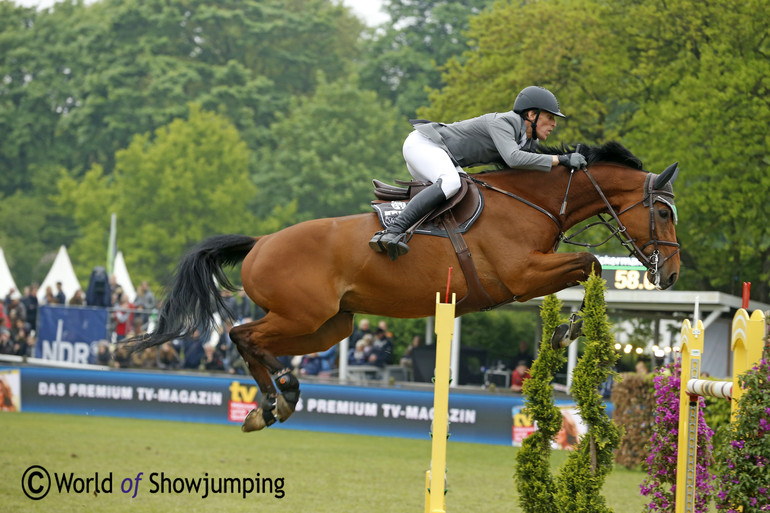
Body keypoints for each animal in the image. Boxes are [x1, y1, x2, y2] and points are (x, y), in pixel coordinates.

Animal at [126, 141, 680, 432]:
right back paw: (273, 401)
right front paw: (570, 327)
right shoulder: (521, 277)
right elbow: (589, 262)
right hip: (301, 315)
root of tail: (261, 242)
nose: (670, 274)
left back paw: (281, 395)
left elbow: (588, 268)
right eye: (663, 211)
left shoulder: (532, 274)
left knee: (262, 342)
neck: (536, 201)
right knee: (242, 336)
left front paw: (570, 326)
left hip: (330, 326)